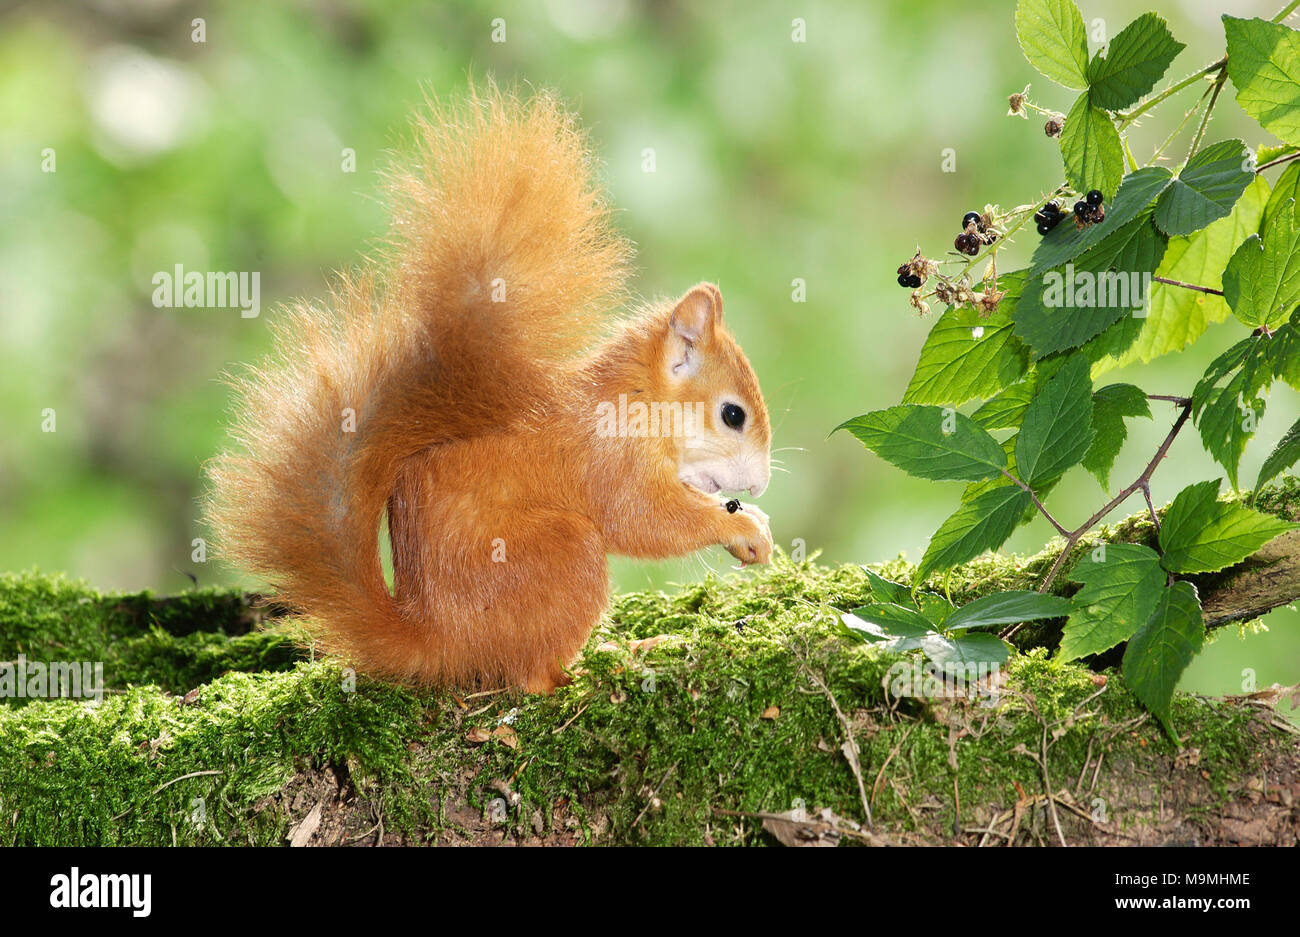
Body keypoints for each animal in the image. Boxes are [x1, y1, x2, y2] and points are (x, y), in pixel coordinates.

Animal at [202, 85, 769, 686]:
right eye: (733, 414)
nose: (758, 487)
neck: (635, 401)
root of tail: (437, 638)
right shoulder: (610, 462)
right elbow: (647, 522)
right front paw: (738, 527)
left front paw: (752, 520)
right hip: (561, 555)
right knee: (535, 676)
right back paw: (608, 662)